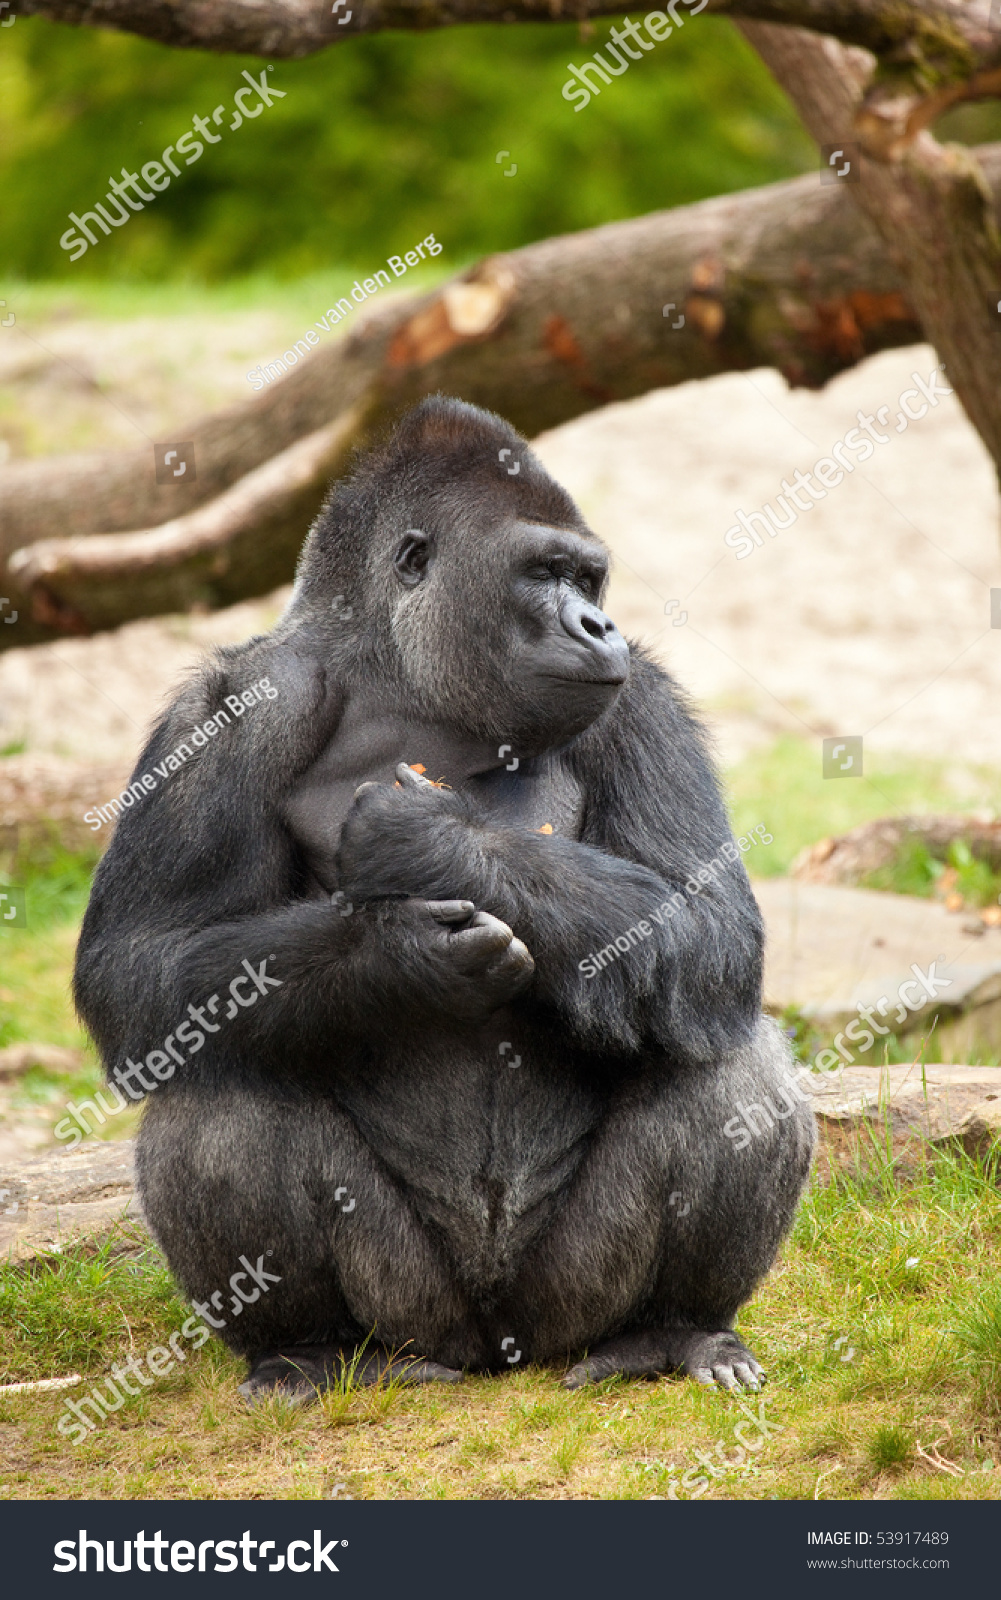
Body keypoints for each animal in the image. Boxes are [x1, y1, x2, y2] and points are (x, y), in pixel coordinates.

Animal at [71, 400, 812, 1401]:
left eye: (587, 576)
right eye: (542, 573)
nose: (598, 624)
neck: (403, 677)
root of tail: (492, 1347)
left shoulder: (643, 696)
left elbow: (710, 929)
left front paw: (434, 846)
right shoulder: (231, 706)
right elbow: (138, 960)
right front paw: (396, 955)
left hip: (565, 1302)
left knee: (725, 1058)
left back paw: (674, 1331)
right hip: (411, 1305)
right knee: (216, 1076)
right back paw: (306, 1350)